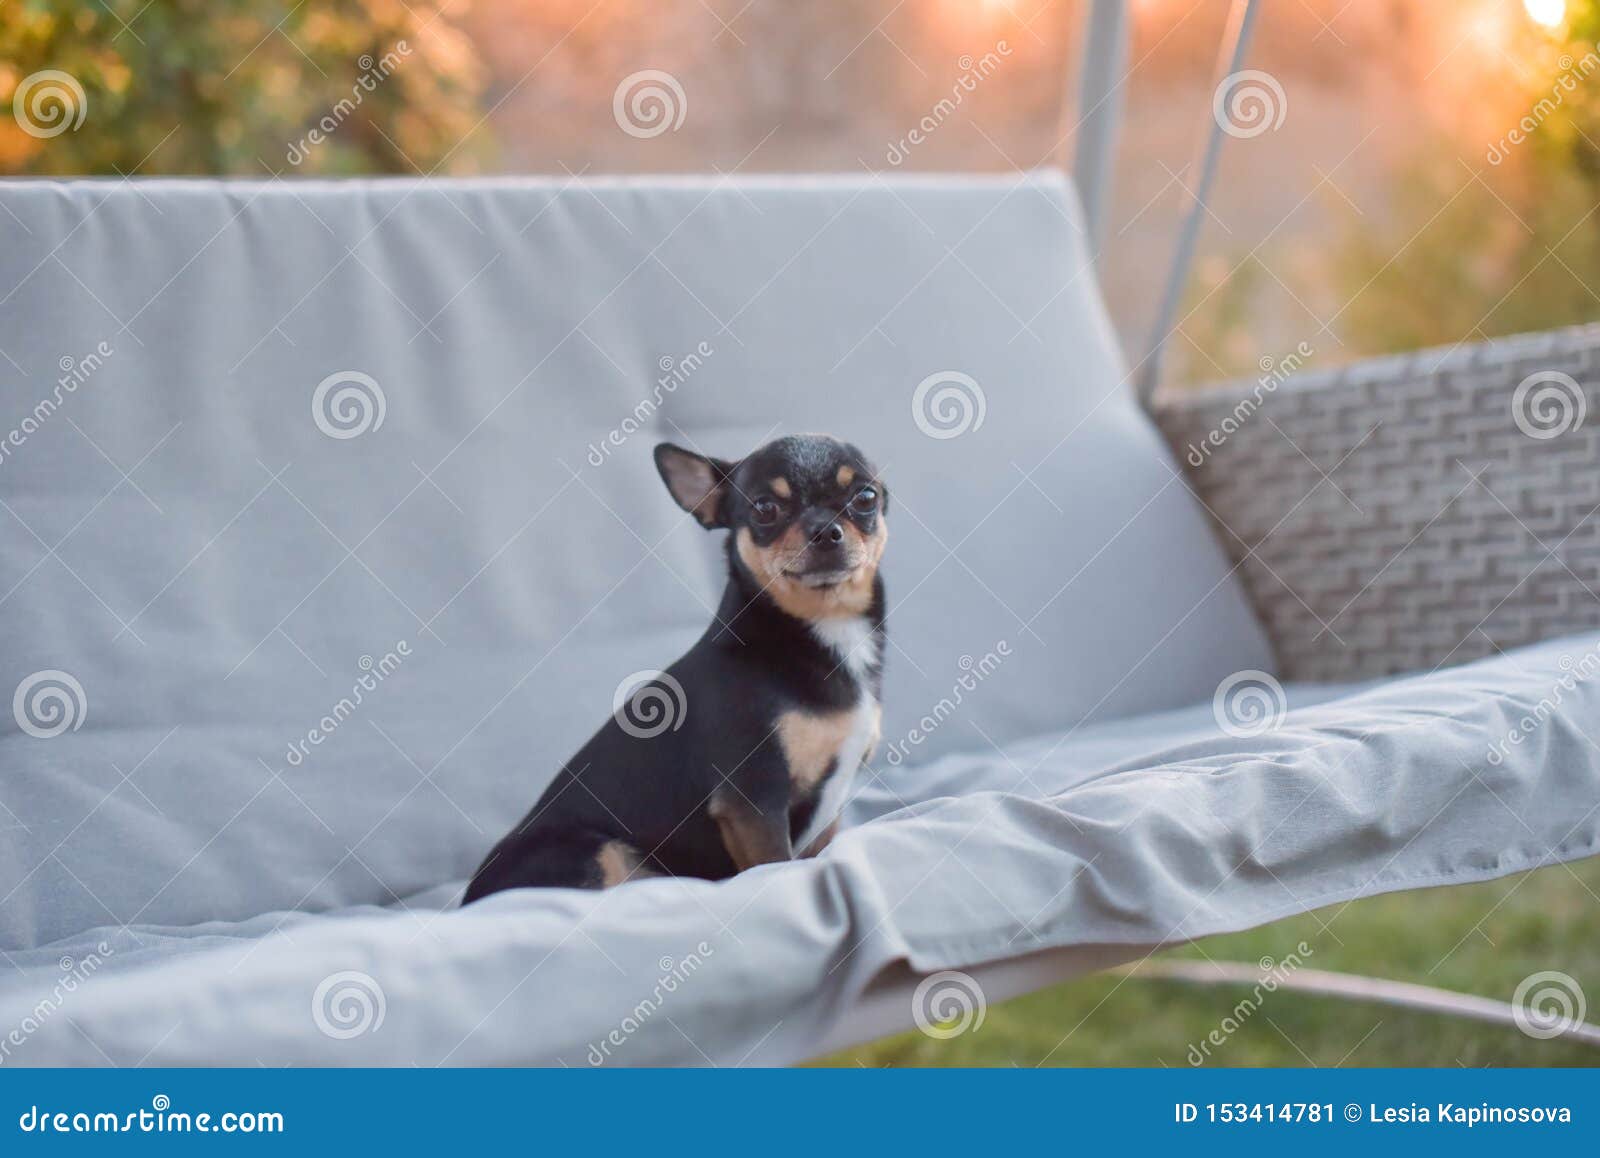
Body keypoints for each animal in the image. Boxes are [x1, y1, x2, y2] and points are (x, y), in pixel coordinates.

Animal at [464, 428, 889, 902]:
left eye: (866, 498)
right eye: (765, 509)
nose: (825, 530)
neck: (826, 626)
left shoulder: (828, 809)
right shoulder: (754, 800)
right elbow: (775, 864)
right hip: (599, 853)